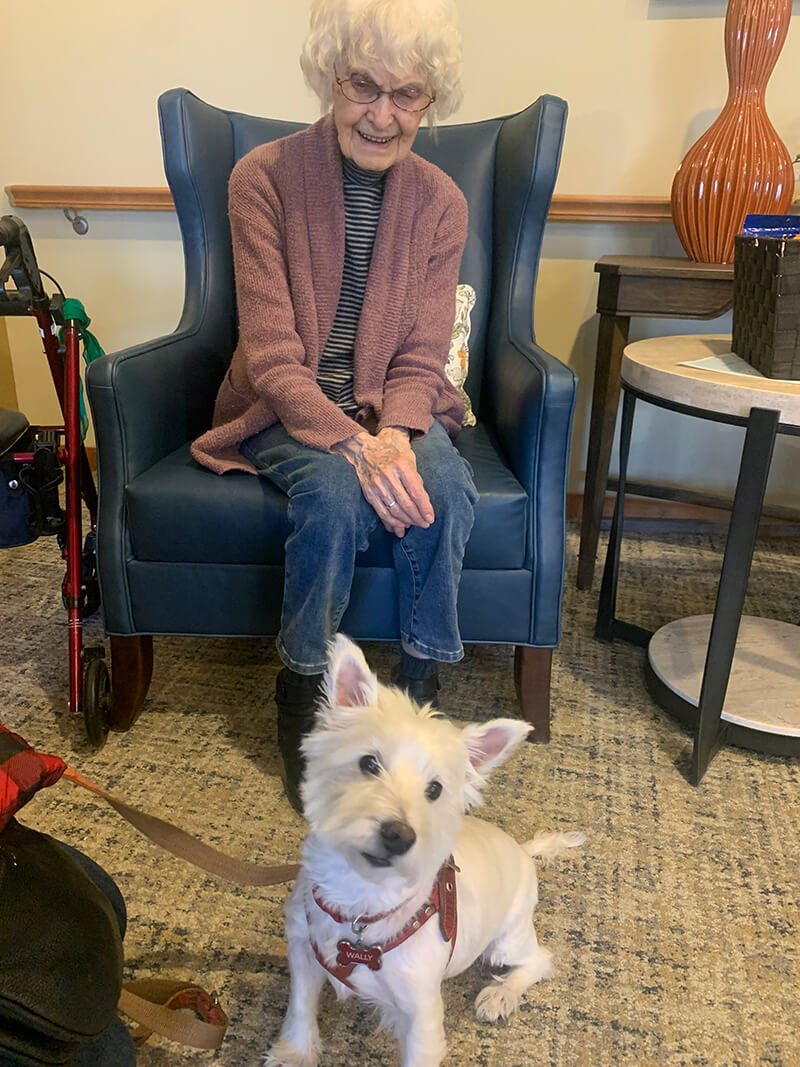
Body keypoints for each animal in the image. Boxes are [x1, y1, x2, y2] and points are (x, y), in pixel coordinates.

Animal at [266, 635, 584, 1062]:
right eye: (369, 764)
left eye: (434, 789)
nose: (398, 835)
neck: (360, 899)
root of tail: (520, 848)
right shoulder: (302, 947)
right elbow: (300, 1004)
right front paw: (294, 1053)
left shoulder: (422, 1015)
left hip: (507, 939)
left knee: (540, 960)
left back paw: (500, 995)